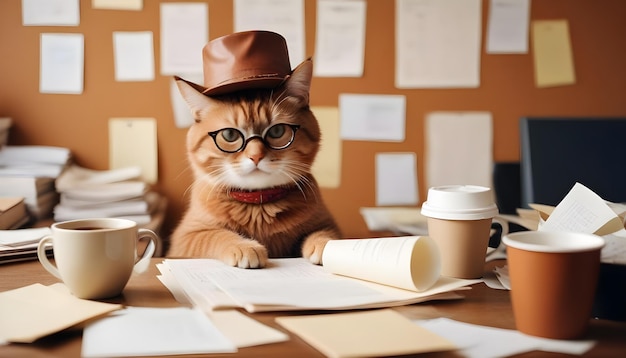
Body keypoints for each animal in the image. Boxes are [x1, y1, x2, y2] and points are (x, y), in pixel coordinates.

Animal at [168, 59, 338, 268]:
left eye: (277, 131)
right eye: (230, 134)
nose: (256, 156)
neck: (258, 205)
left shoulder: (326, 223)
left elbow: (325, 233)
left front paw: (328, 246)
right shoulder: (186, 237)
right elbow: (215, 235)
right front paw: (244, 246)